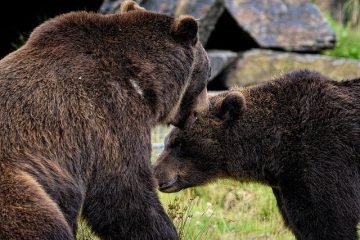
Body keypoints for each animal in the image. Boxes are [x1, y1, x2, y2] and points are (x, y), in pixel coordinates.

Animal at [154, 70, 360, 239]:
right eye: (167, 141)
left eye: (178, 144)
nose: (156, 172)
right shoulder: (287, 186)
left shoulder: (326, 160)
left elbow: (330, 221)